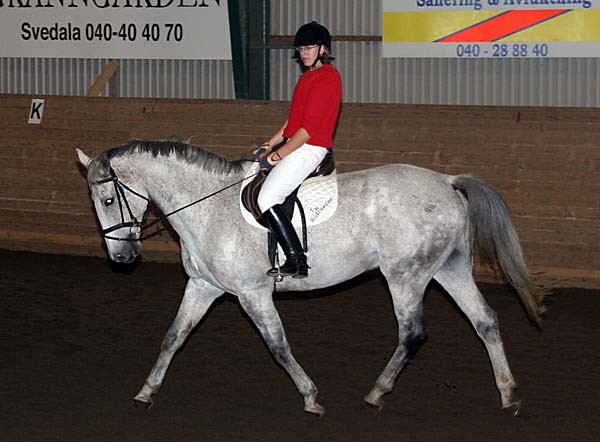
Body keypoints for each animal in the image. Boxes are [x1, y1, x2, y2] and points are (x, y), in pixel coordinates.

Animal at [76, 139, 545, 417]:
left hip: (406, 276)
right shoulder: (204, 286)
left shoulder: (252, 294)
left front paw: (311, 397)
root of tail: (447, 182)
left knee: (413, 333)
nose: (122, 257)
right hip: (449, 268)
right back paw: (508, 394)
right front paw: (147, 390)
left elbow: (278, 347)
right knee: (485, 321)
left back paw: (377, 392)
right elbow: (173, 337)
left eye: (107, 199)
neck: (209, 206)